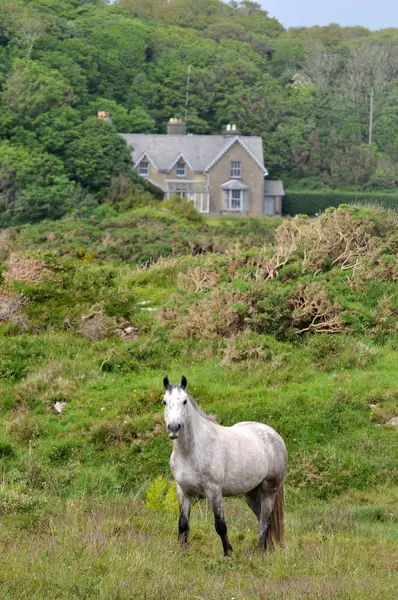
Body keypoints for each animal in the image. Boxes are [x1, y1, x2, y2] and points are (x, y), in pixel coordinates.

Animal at [162, 376, 290, 556]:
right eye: (164, 402)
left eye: (185, 401)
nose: (174, 428)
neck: (191, 452)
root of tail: (275, 435)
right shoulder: (183, 492)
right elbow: (183, 524)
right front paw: (181, 551)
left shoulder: (215, 491)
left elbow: (220, 526)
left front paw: (228, 553)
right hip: (251, 494)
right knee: (263, 519)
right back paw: (267, 550)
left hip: (269, 490)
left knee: (264, 521)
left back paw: (258, 552)